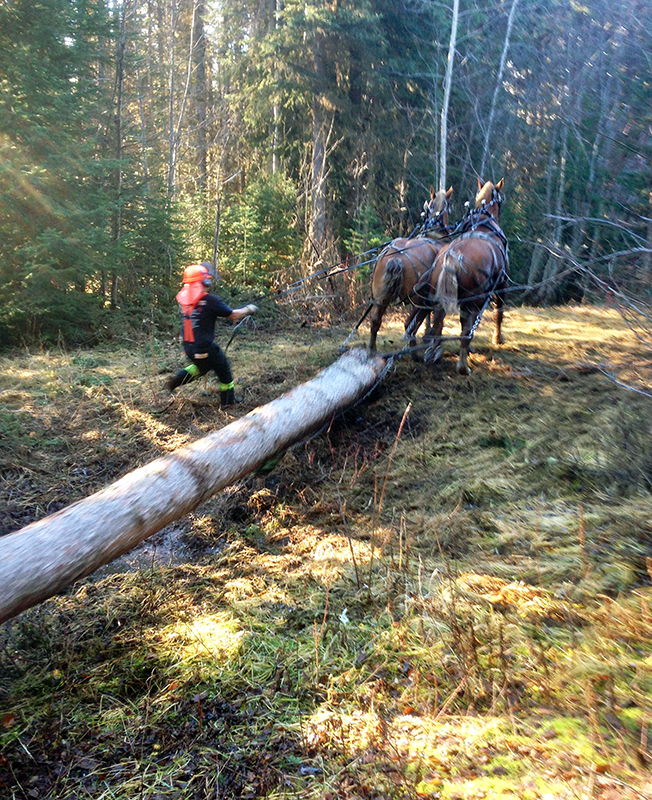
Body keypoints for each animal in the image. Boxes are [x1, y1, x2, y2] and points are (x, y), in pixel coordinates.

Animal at [366, 189, 454, 352]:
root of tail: (397, 257)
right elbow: (438, 323)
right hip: (417, 299)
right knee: (409, 325)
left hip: (381, 296)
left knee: (376, 321)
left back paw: (371, 349)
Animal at [408, 177, 510, 376]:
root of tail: (451, 257)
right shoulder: (501, 284)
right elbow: (499, 313)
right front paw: (498, 338)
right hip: (473, 299)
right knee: (465, 330)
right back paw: (462, 366)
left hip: (437, 295)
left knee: (436, 322)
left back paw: (433, 352)